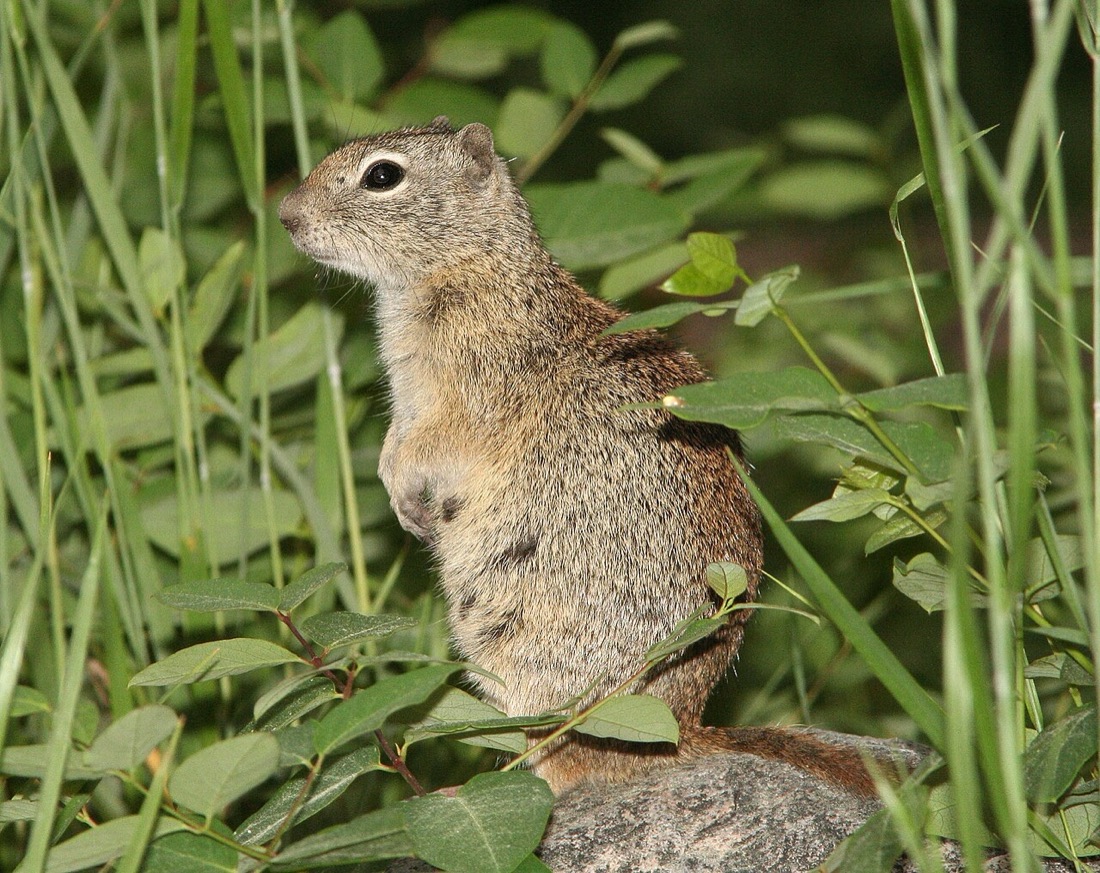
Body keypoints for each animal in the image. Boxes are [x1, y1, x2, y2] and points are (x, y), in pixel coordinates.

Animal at [279, 117, 882, 796]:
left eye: (382, 175)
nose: (285, 214)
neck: (470, 267)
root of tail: (684, 729)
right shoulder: (408, 403)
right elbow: (395, 443)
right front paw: (403, 500)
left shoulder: (466, 404)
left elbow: (427, 447)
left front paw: (405, 490)